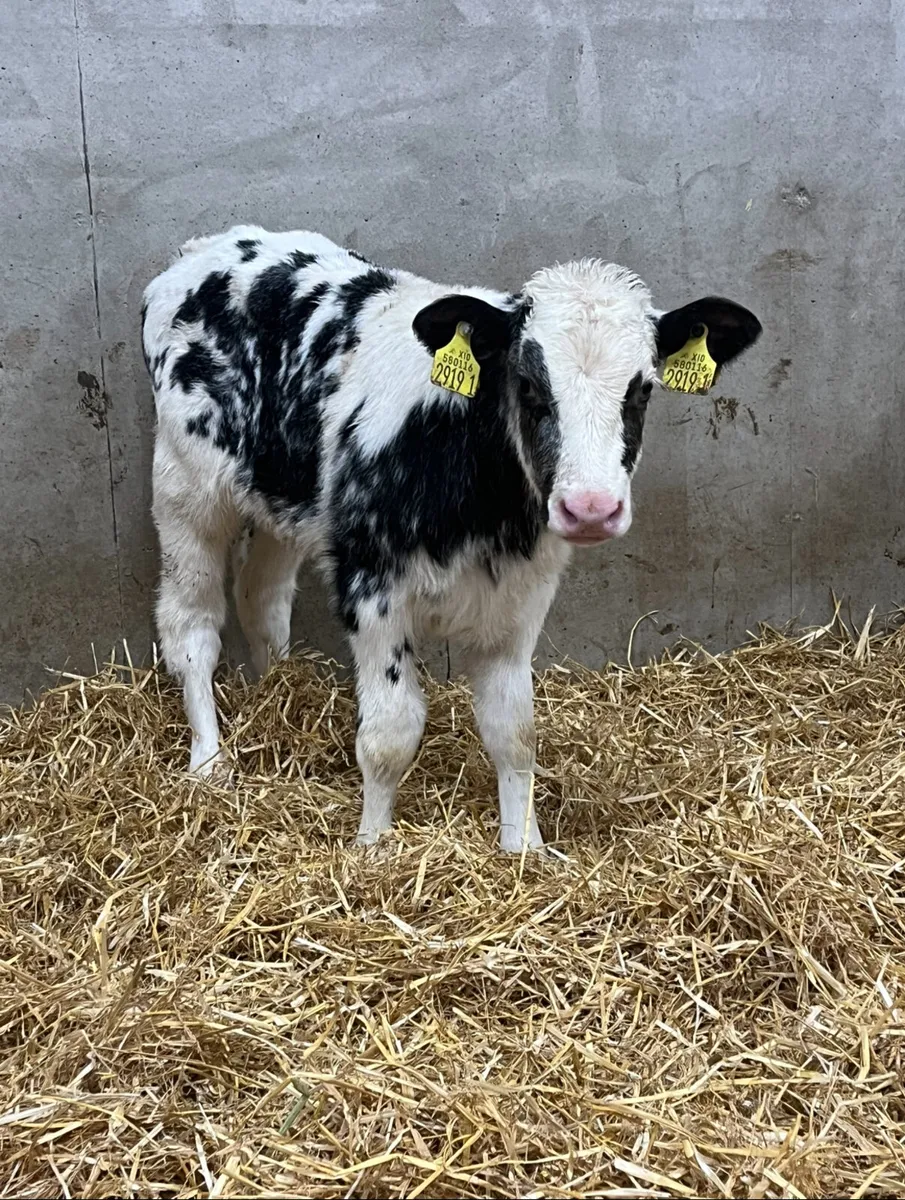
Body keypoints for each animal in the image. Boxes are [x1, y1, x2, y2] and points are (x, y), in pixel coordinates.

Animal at [141, 225, 761, 852]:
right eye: (529, 386)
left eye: (641, 391)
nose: (590, 508)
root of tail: (211, 246)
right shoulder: (371, 586)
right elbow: (389, 734)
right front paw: (372, 847)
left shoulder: (520, 599)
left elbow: (515, 731)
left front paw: (525, 848)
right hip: (186, 491)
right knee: (191, 627)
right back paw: (209, 761)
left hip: (281, 502)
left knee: (261, 599)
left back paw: (277, 690)